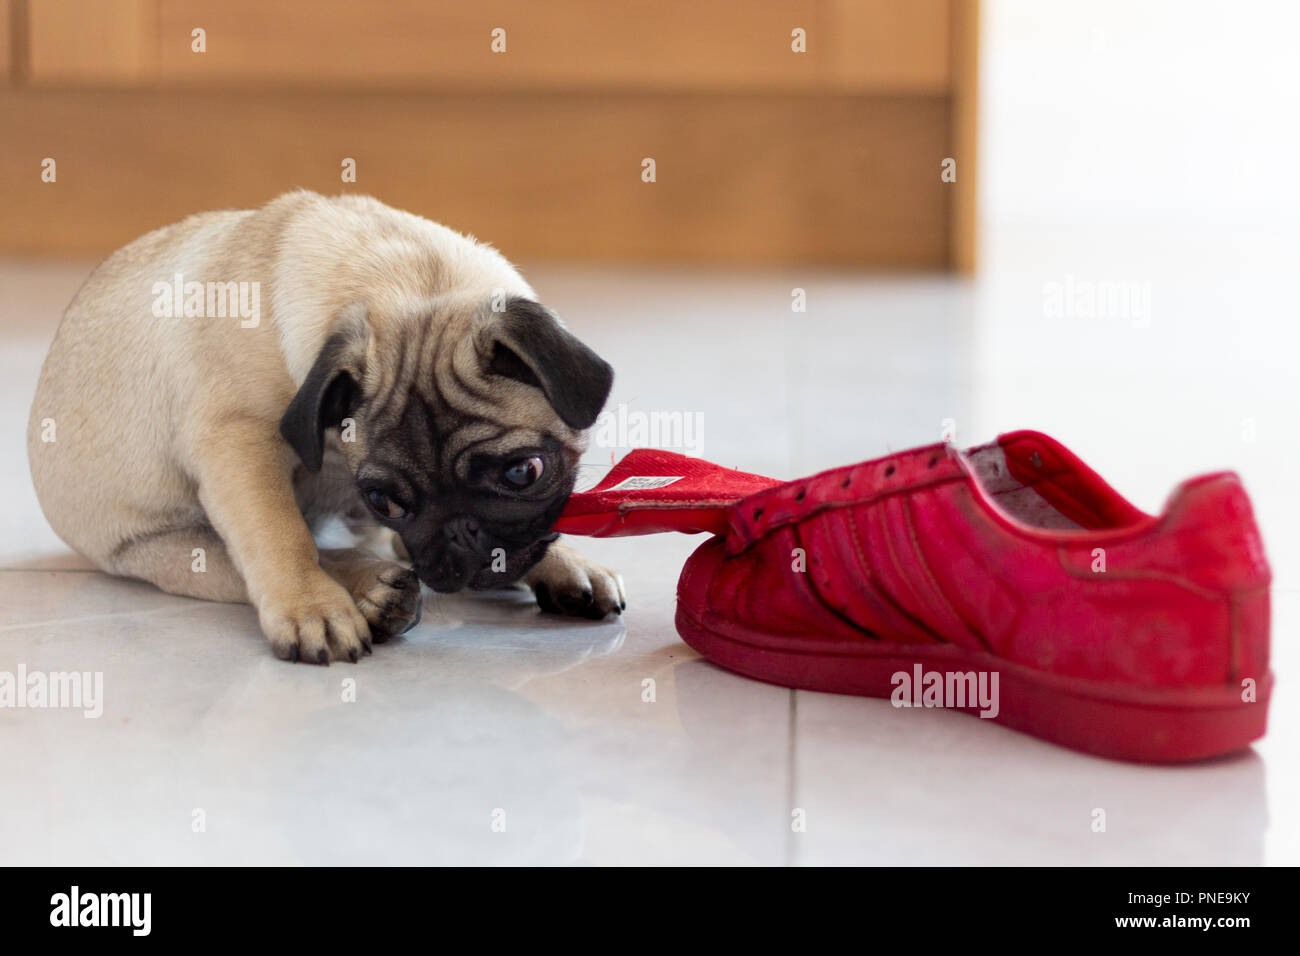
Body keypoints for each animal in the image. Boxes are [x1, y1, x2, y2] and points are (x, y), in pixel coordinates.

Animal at [24, 191, 624, 660]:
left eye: (525, 472)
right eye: (386, 500)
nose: (462, 532)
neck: (409, 282)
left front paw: (563, 560)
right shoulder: (238, 444)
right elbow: (281, 536)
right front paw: (312, 606)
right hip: (160, 550)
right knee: (267, 558)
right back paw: (370, 590)